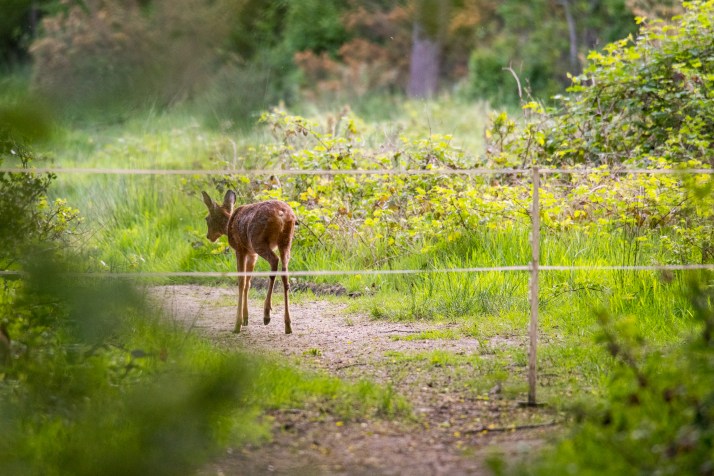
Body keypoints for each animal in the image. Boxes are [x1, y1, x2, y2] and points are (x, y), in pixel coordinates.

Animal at [201, 190, 297, 334]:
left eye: (207, 219)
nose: (208, 236)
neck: (228, 225)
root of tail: (282, 214)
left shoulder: (240, 249)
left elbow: (241, 282)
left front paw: (237, 324)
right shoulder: (252, 254)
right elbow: (248, 282)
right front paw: (246, 319)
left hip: (258, 241)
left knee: (274, 261)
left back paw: (267, 314)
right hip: (286, 242)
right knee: (285, 273)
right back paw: (288, 325)